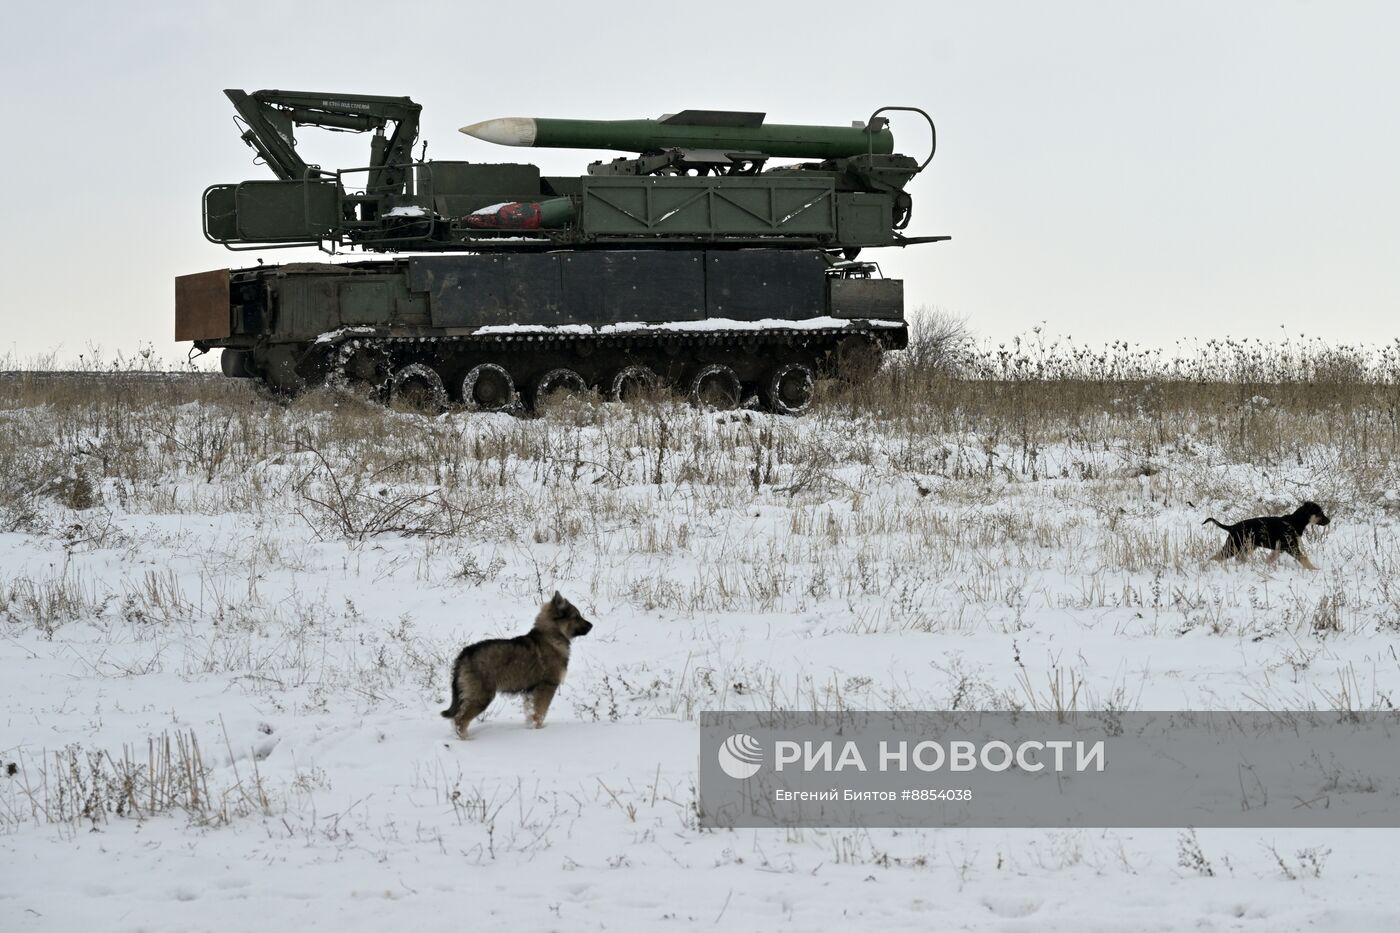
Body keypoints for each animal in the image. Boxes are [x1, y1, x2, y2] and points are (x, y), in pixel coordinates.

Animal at [1204, 498, 1332, 571]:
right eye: (1320, 513)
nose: (1329, 520)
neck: (1294, 522)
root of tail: (1231, 527)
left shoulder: (1280, 548)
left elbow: (1271, 558)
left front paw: (1265, 565)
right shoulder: (1291, 547)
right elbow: (1304, 558)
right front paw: (1314, 569)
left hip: (1247, 546)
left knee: (1239, 557)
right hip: (1233, 546)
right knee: (1217, 557)